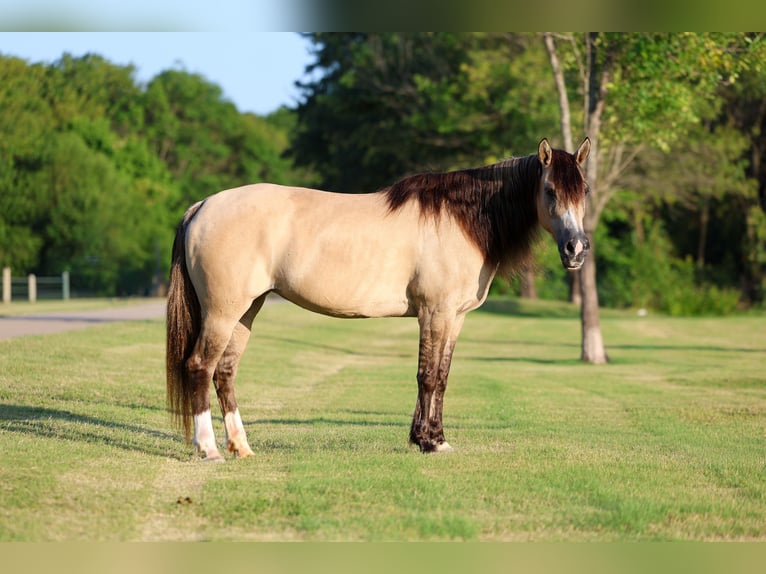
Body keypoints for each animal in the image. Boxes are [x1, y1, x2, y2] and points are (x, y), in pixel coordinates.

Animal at [166, 138, 591, 460]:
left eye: (584, 191)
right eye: (550, 190)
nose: (576, 249)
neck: (460, 220)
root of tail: (202, 206)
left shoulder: (455, 317)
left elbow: (442, 377)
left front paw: (436, 439)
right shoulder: (435, 313)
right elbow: (427, 376)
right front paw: (428, 442)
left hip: (245, 311)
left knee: (225, 372)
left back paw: (241, 447)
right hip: (222, 313)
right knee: (200, 366)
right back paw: (208, 449)